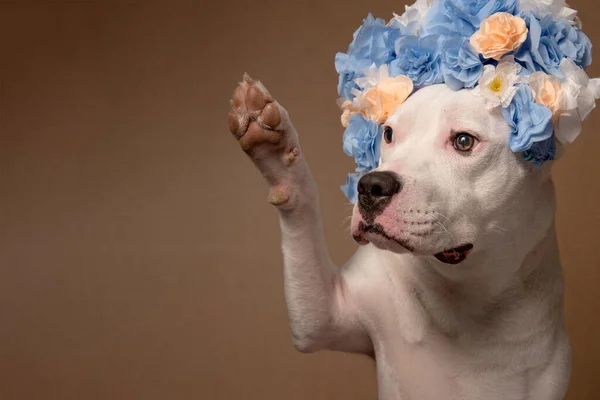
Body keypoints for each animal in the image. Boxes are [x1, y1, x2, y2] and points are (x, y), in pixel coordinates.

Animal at [227, 75, 568, 400]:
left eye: (464, 141)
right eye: (389, 134)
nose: (371, 186)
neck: (465, 290)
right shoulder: (326, 316)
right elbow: (302, 206)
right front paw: (272, 147)